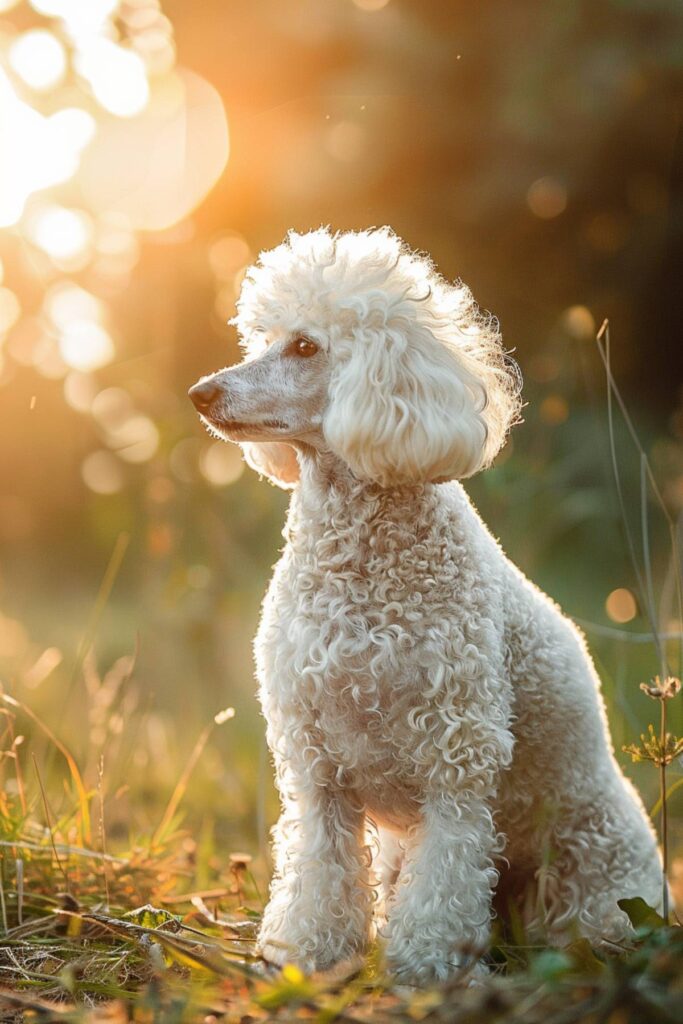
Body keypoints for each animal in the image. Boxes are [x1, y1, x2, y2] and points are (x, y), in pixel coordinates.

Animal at [189, 226, 663, 983]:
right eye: (260, 339)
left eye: (305, 347)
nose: (201, 393)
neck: (355, 557)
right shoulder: (315, 766)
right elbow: (318, 873)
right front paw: (308, 957)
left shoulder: (457, 761)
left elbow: (444, 882)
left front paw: (428, 970)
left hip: (595, 870)